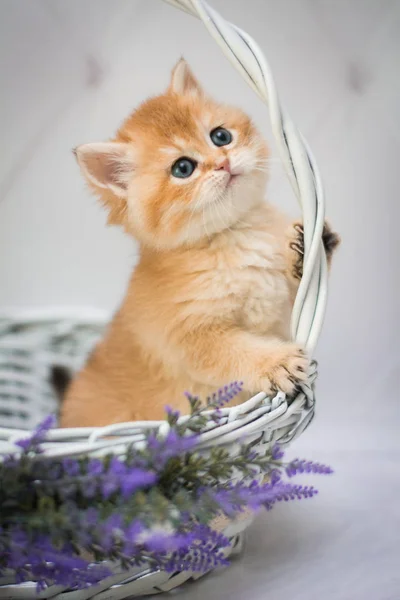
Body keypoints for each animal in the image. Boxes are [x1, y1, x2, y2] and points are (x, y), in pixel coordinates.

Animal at [61, 59, 340, 426]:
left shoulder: (280, 312)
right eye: (183, 168)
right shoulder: (192, 336)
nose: (223, 162)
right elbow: (236, 352)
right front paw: (276, 363)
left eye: (220, 136)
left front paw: (307, 244)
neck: (236, 235)